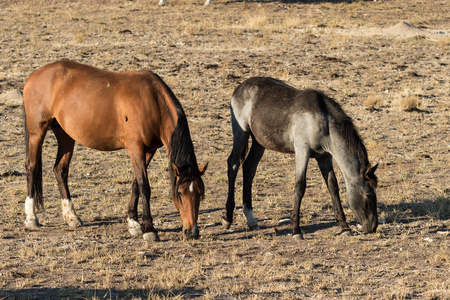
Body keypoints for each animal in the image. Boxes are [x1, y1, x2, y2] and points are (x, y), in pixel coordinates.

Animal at [22, 61, 207, 241]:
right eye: (180, 193)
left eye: (200, 193)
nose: (192, 232)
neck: (152, 101)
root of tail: (34, 75)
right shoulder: (135, 149)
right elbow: (144, 186)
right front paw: (149, 229)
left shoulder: (149, 151)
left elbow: (135, 184)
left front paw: (133, 222)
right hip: (37, 131)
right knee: (32, 167)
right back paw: (31, 217)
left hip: (65, 135)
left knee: (60, 170)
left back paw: (71, 216)